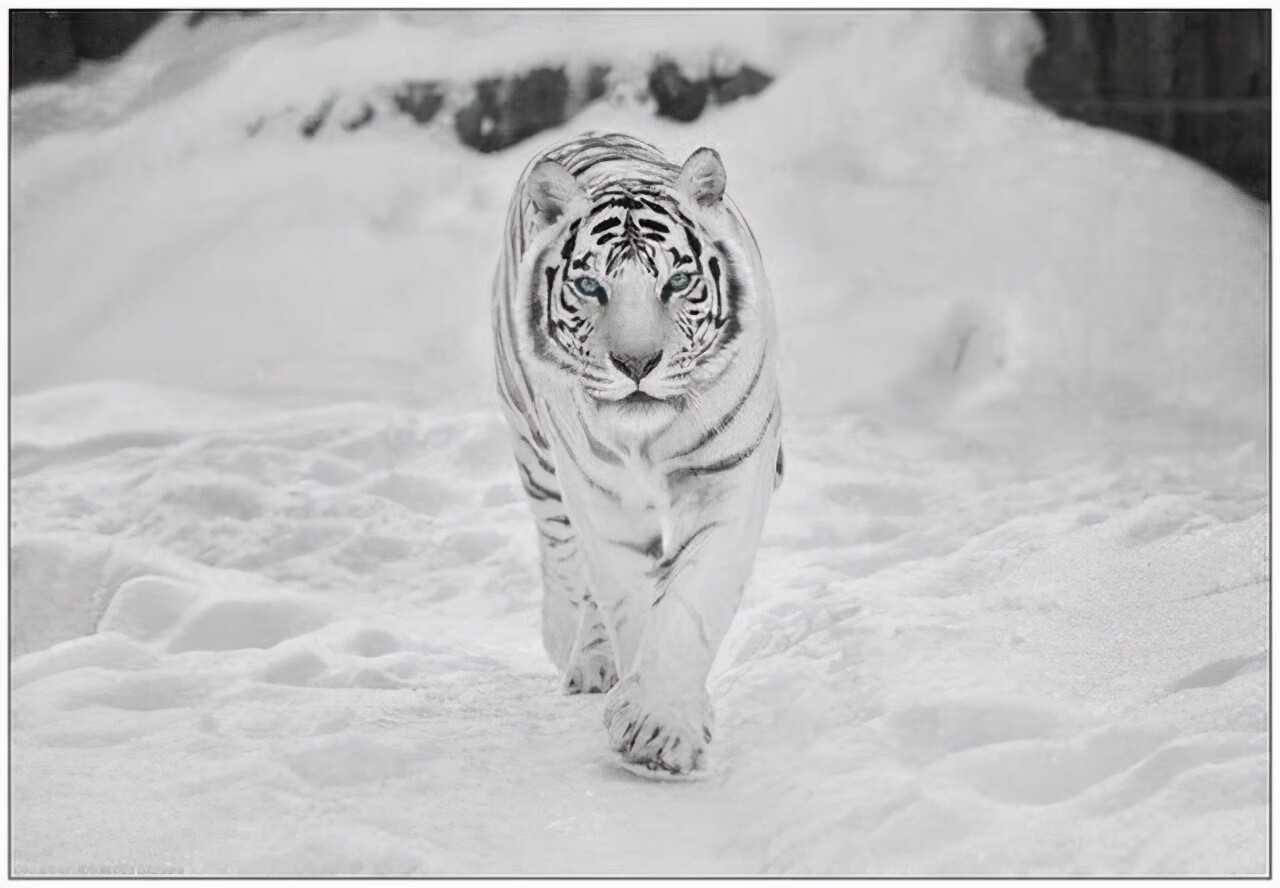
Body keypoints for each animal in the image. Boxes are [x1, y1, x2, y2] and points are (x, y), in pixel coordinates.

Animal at [488, 132, 783, 777]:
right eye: (590, 287)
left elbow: (691, 601)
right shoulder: (602, 496)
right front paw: (645, 715)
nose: (636, 364)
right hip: (536, 453)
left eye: (676, 283)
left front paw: (661, 728)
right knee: (563, 554)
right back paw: (578, 652)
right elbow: (625, 593)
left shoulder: (728, 478)